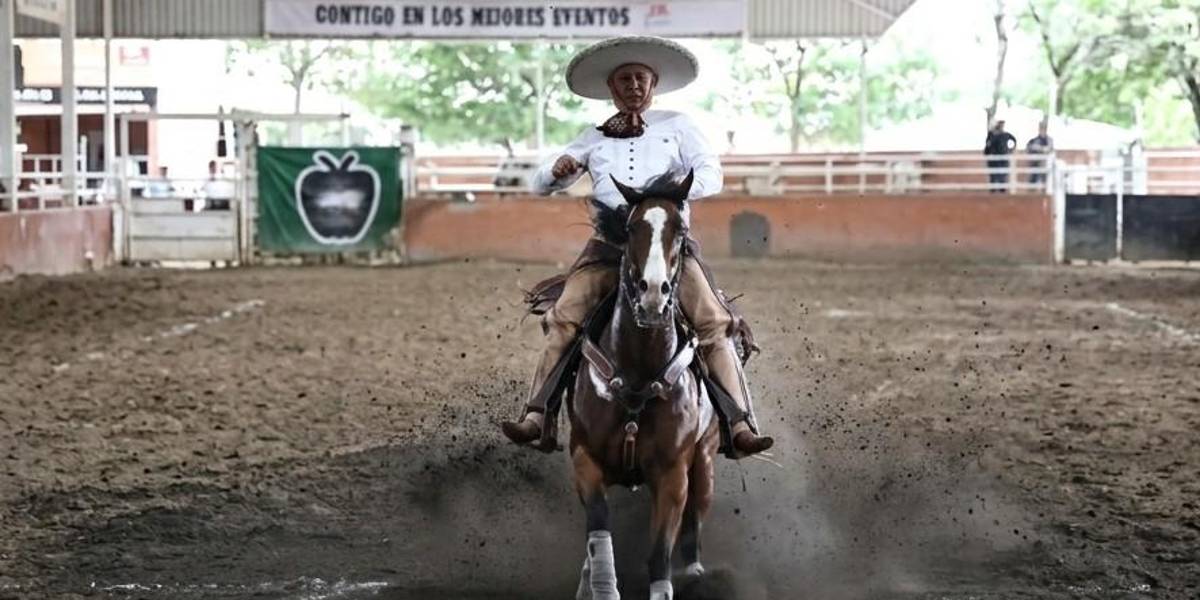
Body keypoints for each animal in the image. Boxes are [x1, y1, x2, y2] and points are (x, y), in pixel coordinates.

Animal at [569, 171, 720, 600]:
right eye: (633, 227)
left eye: (680, 230)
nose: (653, 292)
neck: (637, 374)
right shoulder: (585, 458)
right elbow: (598, 528)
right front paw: (601, 586)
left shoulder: (672, 476)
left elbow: (659, 554)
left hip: (704, 465)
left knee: (694, 523)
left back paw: (696, 571)